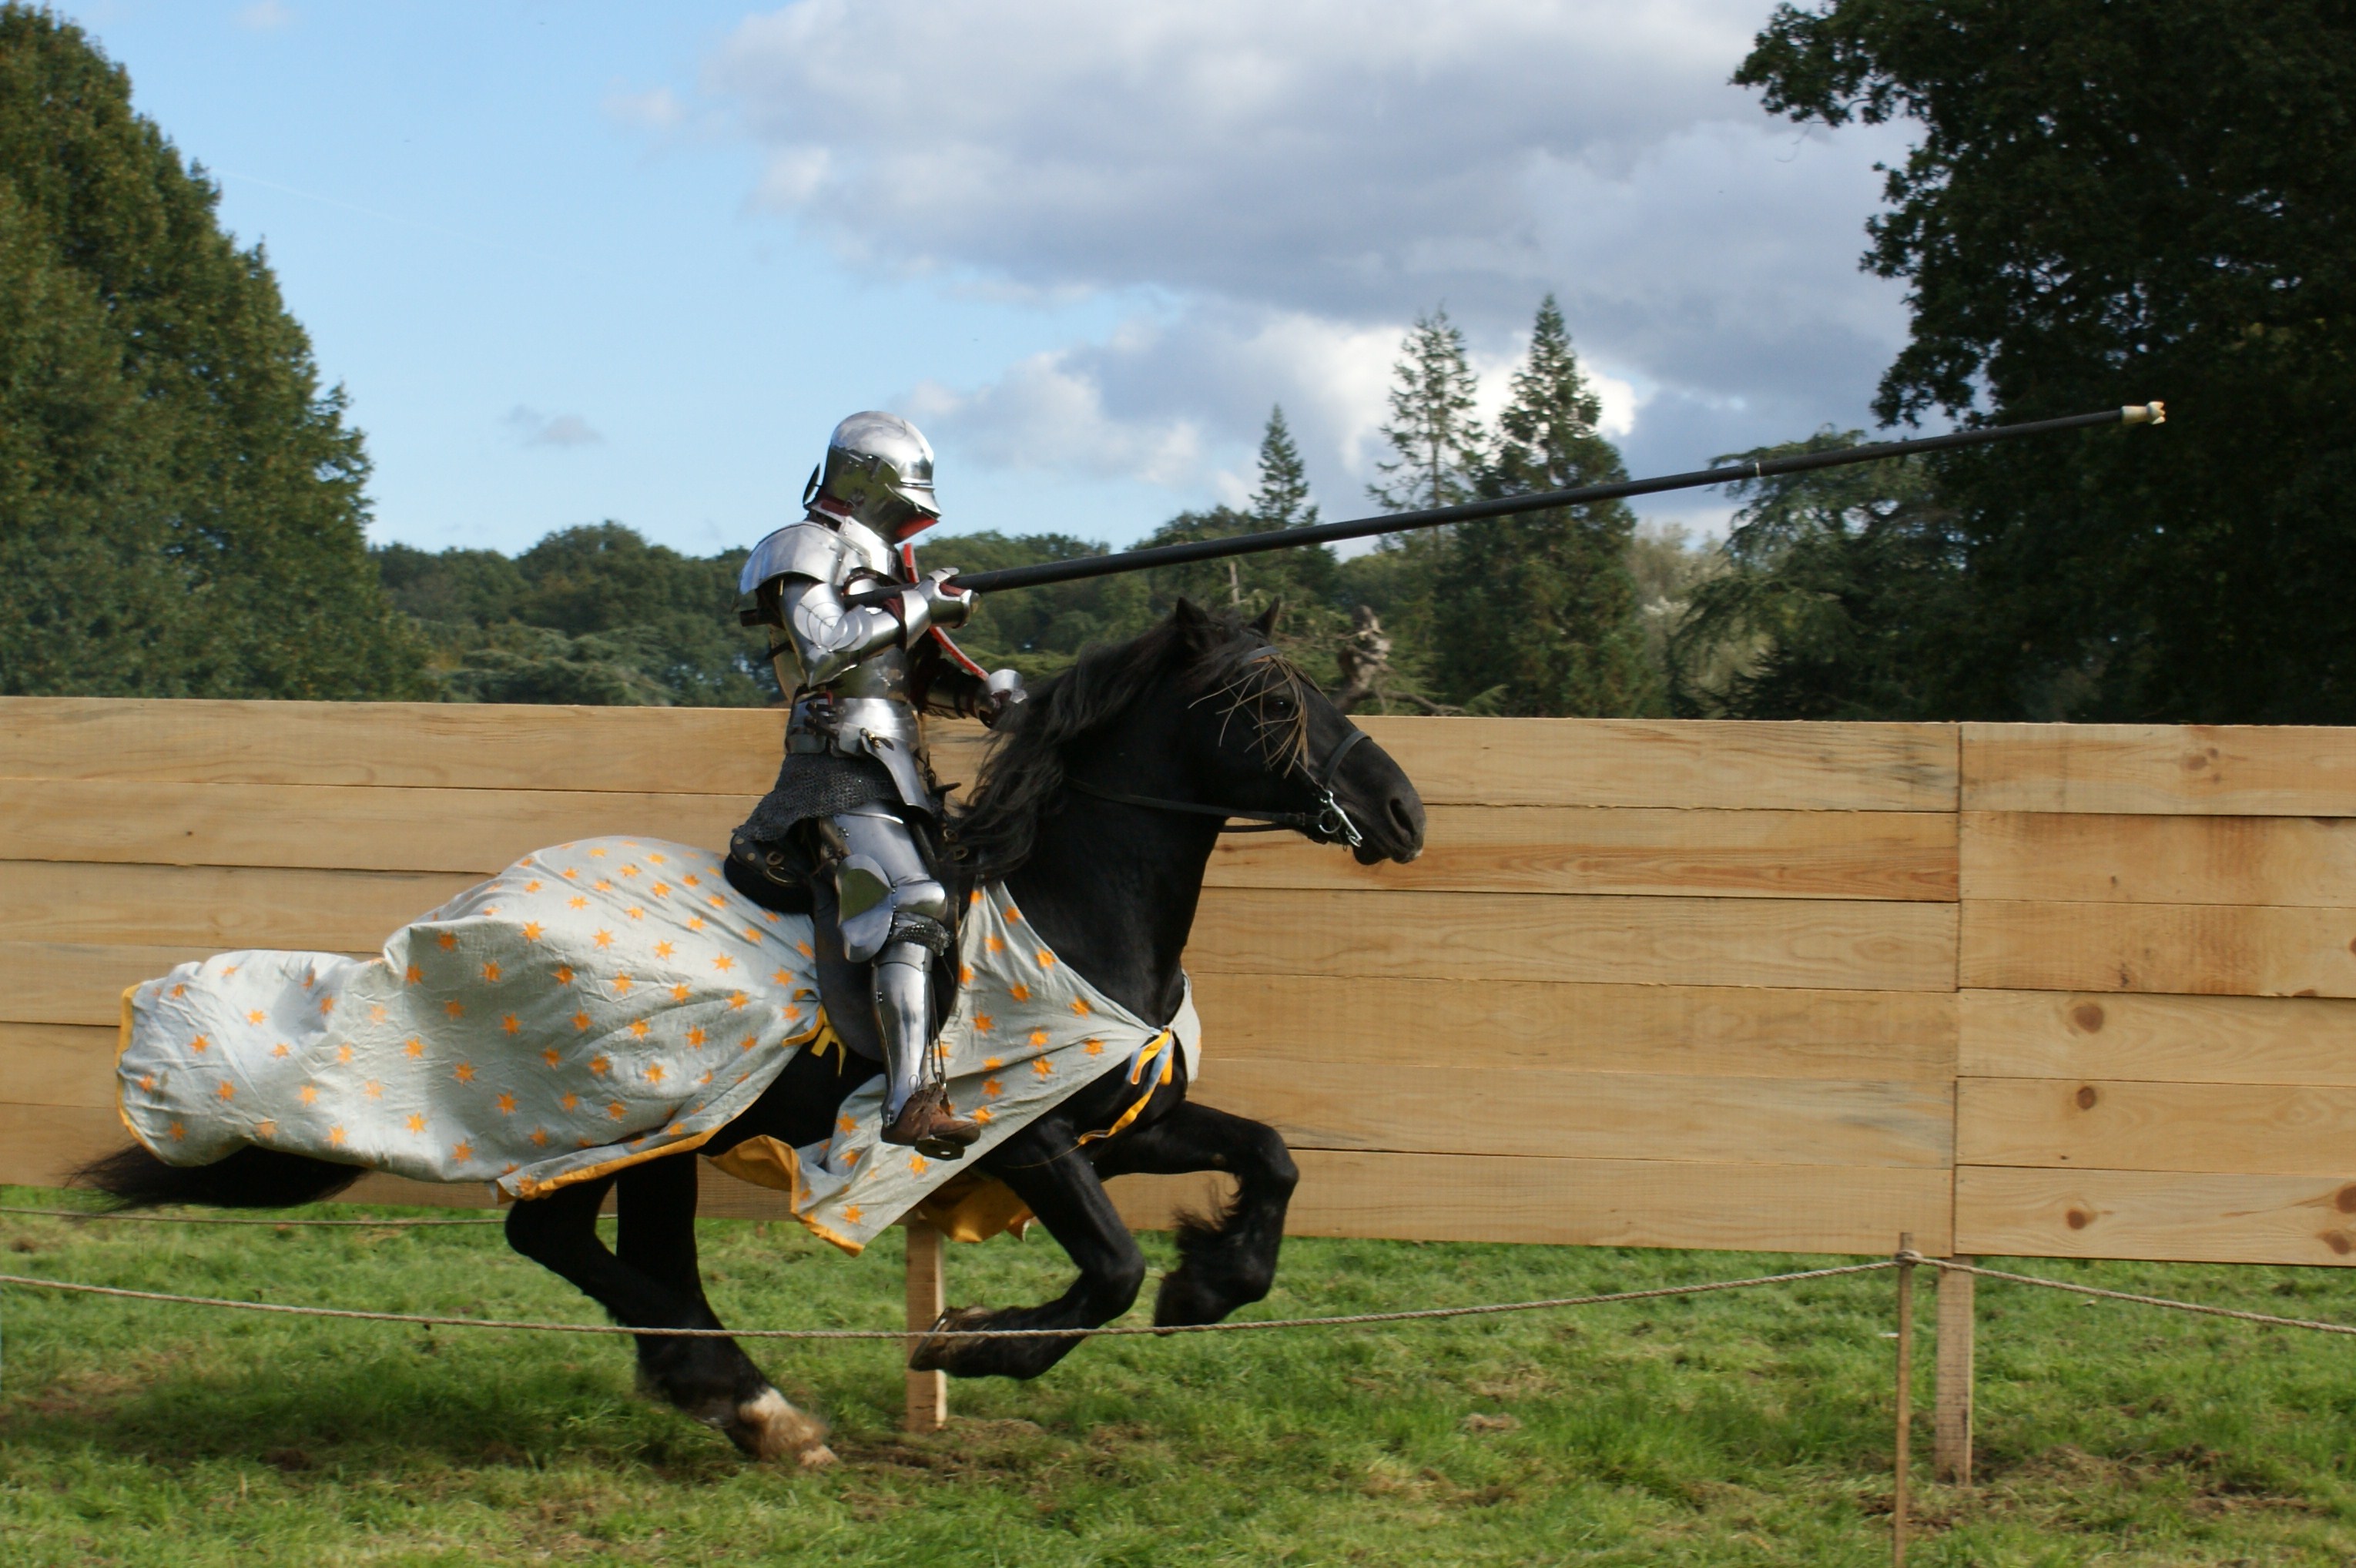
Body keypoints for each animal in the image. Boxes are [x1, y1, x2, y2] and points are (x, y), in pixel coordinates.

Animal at [82, 602, 1423, 1459]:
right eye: (1267, 699)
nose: (1402, 808)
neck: (1069, 905)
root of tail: (462, 910)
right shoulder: (1022, 1135)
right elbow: (1106, 1269)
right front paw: (969, 1349)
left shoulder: (1120, 1123)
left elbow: (1268, 1159)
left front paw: (1213, 1283)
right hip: (621, 1104)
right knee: (552, 1237)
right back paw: (738, 1394)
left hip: (667, 1128)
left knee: (625, 1248)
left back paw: (736, 1400)